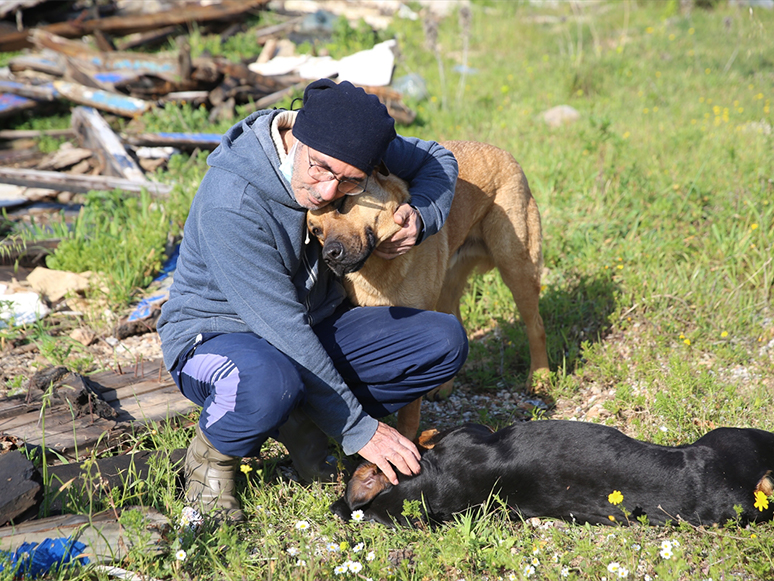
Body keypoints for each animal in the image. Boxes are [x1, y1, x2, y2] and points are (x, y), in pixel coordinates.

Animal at [310, 140, 552, 438]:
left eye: (342, 203)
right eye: (315, 230)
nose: (330, 256)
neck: (379, 267)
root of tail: (501, 151)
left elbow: (409, 412)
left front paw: (405, 440)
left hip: (516, 268)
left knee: (536, 326)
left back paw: (540, 377)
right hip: (449, 288)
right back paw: (445, 387)